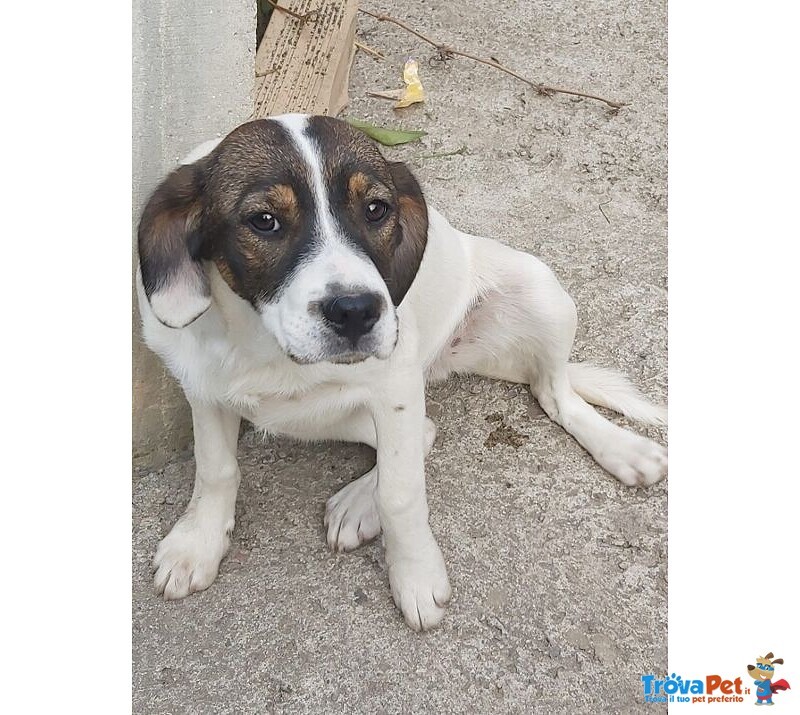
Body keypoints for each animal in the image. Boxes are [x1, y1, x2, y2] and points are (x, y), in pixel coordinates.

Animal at [138, 113, 668, 632]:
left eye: (376, 209)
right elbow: (216, 469)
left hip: (540, 291)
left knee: (551, 393)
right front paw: (198, 541)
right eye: (264, 221)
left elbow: (400, 491)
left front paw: (415, 574)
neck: (268, 347)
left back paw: (622, 449)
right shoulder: (203, 387)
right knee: (428, 429)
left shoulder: (394, 389)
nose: (356, 311)